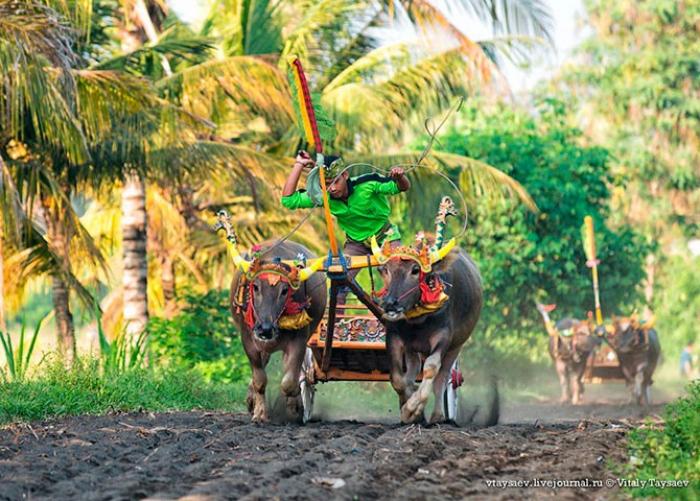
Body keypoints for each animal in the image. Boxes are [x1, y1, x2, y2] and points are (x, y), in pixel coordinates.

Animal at [230, 239, 328, 422]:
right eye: (255, 287)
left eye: (284, 290)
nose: (265, 329)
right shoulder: (249, 341)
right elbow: (260, 380)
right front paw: (260, 413)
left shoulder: (299, 342)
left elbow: (289, 382)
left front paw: (295, 404)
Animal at [372, 236, 482, 424]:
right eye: (385, 269)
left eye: (415, 270)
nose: (390, 304)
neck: (419, 319)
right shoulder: (394, 337)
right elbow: (398, 380)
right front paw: (409, 410)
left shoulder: (443, 338)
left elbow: (431, 369)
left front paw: (412, 408)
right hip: (412, 349)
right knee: (412, 371)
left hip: (456, 346)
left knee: (442, 378)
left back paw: (437, 416)